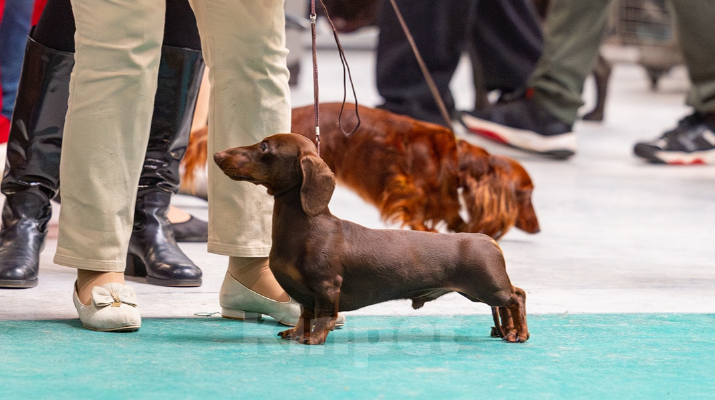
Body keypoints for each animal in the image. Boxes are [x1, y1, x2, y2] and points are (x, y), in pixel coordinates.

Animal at [213, 134, 532, 344]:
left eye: (264, 147)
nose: (217, 155)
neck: (305, 227)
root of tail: (486, 238)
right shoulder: (305, 293)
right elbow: (304, 314)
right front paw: (295, 333)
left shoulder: (327, 287)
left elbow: (322, 317)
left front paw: (314, 338)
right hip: (481, 291)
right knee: (509, 302)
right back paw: (507, 331)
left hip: (488, 287)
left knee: (516, 296)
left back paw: (520, 333)